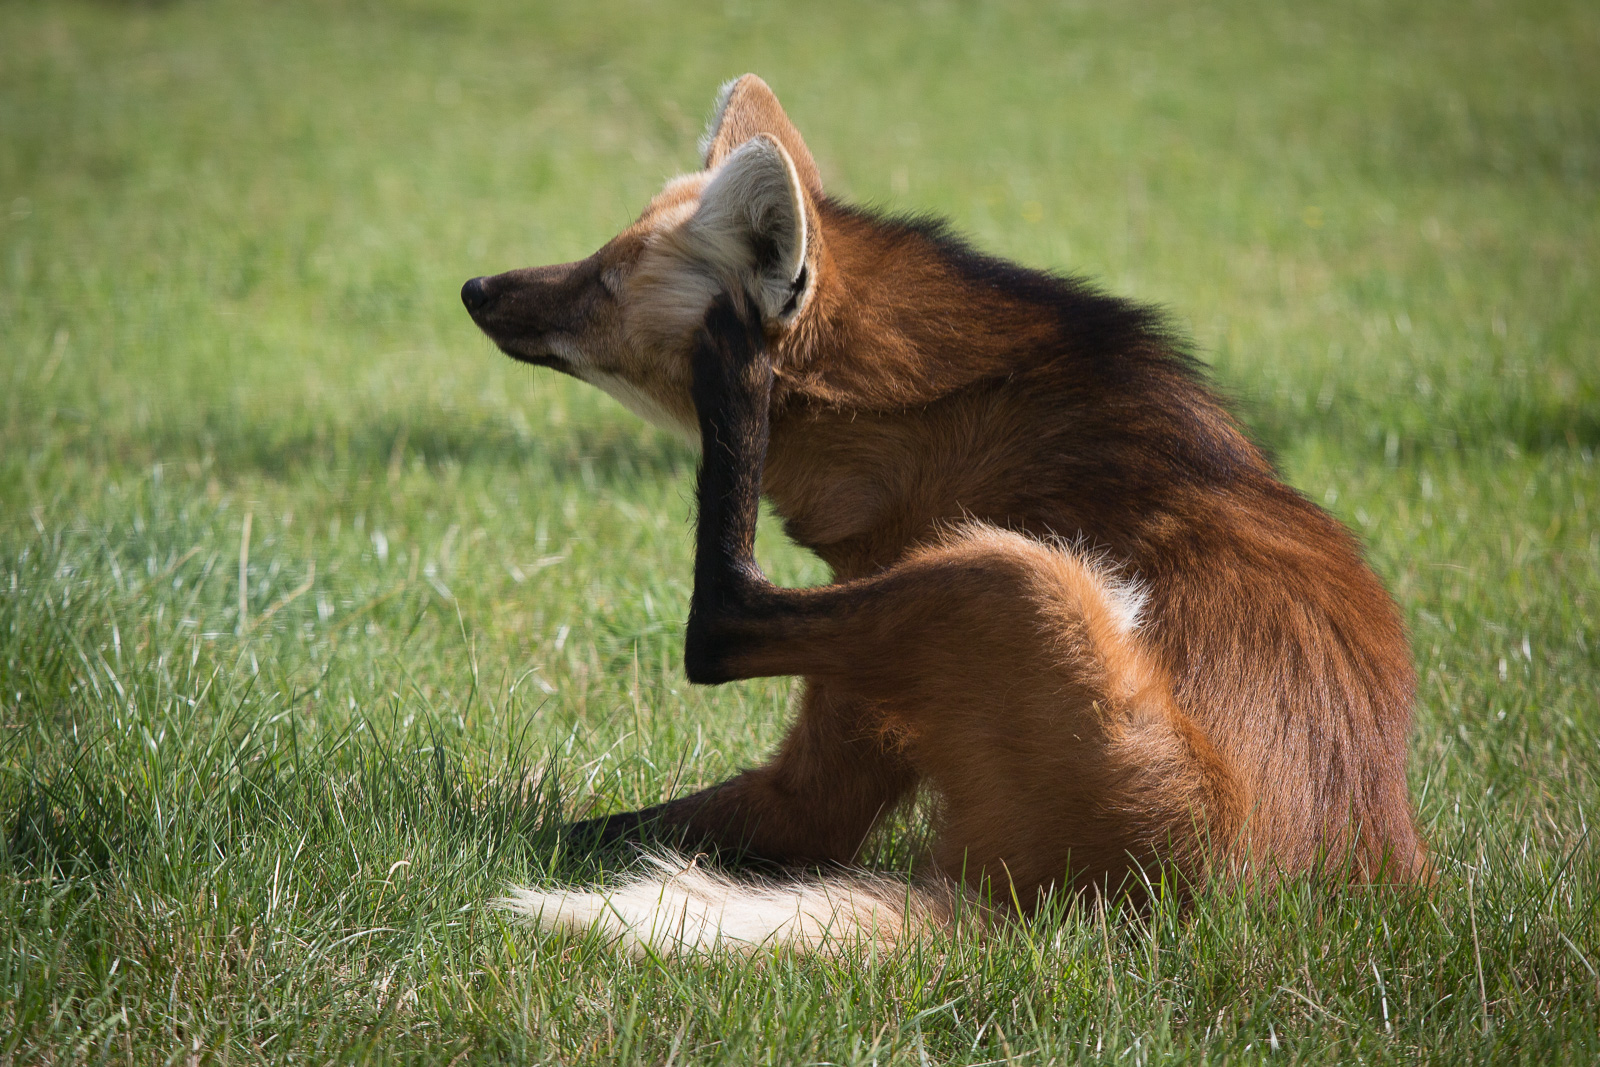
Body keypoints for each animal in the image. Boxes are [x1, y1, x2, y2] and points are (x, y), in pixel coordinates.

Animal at [461, 75, 1428, 954]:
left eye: (605, 279)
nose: (474, 286)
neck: (925, 418)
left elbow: (763, 765)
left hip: (1019, 578)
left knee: (717, 622)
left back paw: (734, 382)